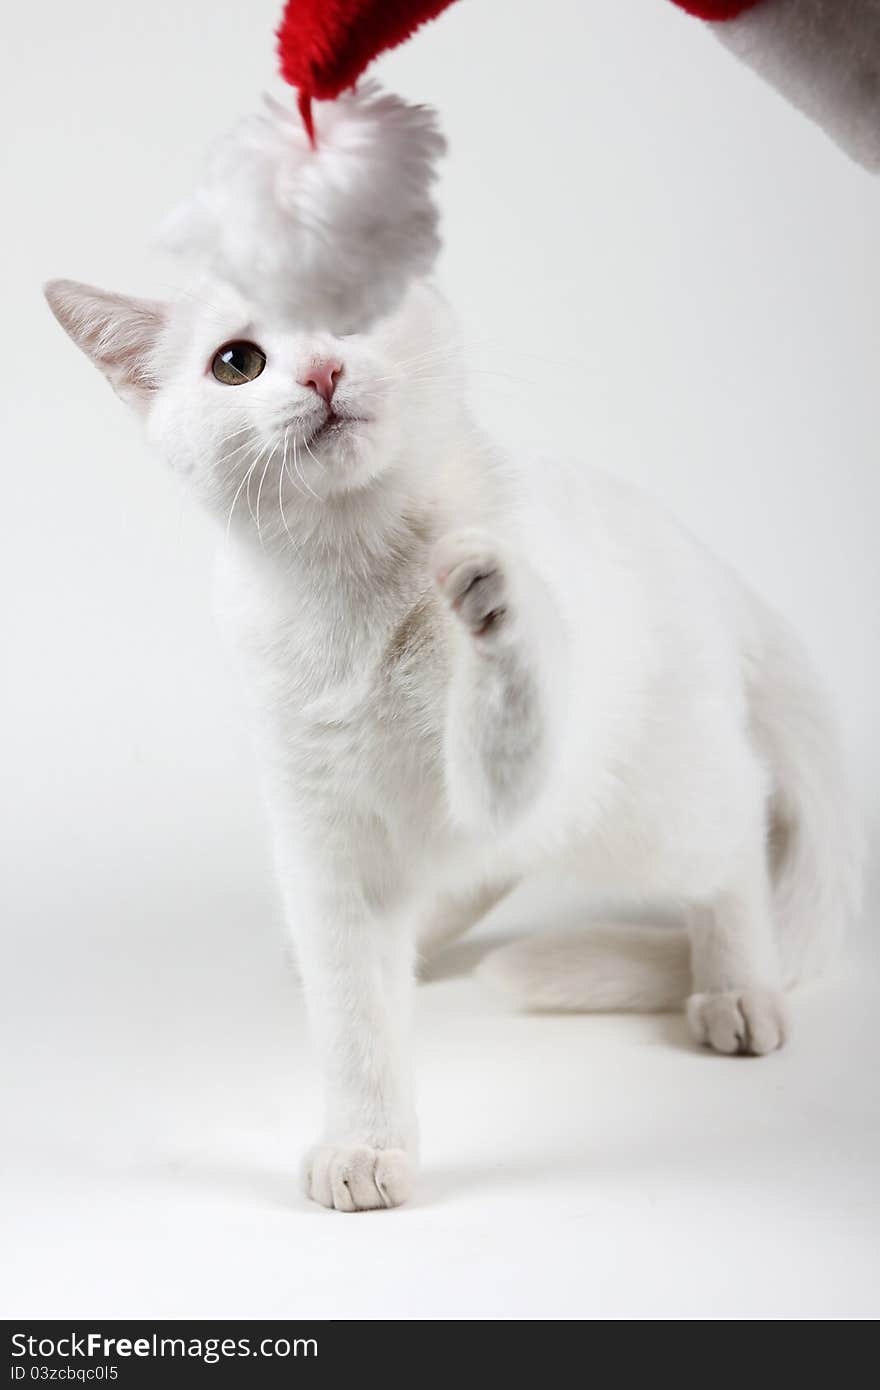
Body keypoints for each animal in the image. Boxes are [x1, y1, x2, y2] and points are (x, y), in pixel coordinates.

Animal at [46, 276, 856, 1212]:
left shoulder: (503, 773)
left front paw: (496, 604)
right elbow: (355, 1012)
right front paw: (365, 1142)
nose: (322, 371)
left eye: (349, 305)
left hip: (644, 810)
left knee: (733, 834)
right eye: (237, 362)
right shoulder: (324, 840)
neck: (355, 595)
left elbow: (503, 714)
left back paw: (737, 986)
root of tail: (701, 559)